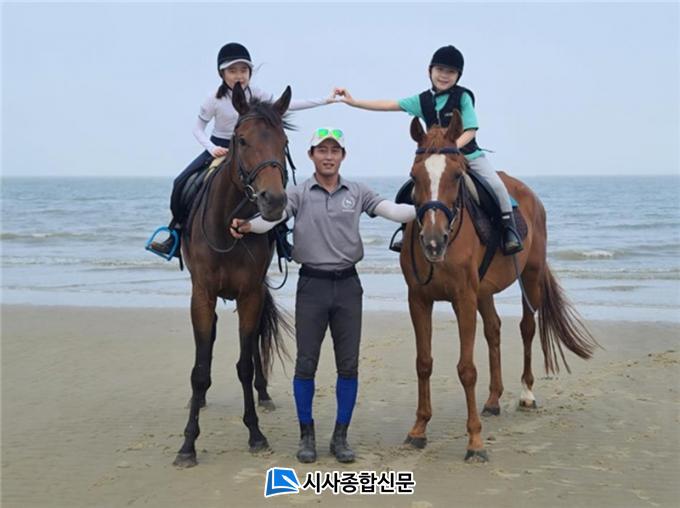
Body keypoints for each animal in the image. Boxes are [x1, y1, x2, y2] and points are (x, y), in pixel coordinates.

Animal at [173, 83, 292, 467]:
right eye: (241, 139)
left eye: (284, 141)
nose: (273, 200)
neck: (227, 227)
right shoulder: (202, 294)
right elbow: (199, 370)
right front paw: (188, 444)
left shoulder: (250, 293)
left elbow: (245, 364)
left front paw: (255, 433)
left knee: (253, 348)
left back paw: (264, 395)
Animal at [400, 112, 597, 462]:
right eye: (415, 175)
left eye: (456, 175)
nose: (434, 242)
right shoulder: (419, 299)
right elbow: (423, 363)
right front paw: (419, 430)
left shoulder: (463, 299)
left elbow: (466, 369)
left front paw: (475, 442)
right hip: (485, 291)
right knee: (493, 330)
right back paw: (493, 400)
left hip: (529, 278)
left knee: (527, 328)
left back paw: (527, 393)